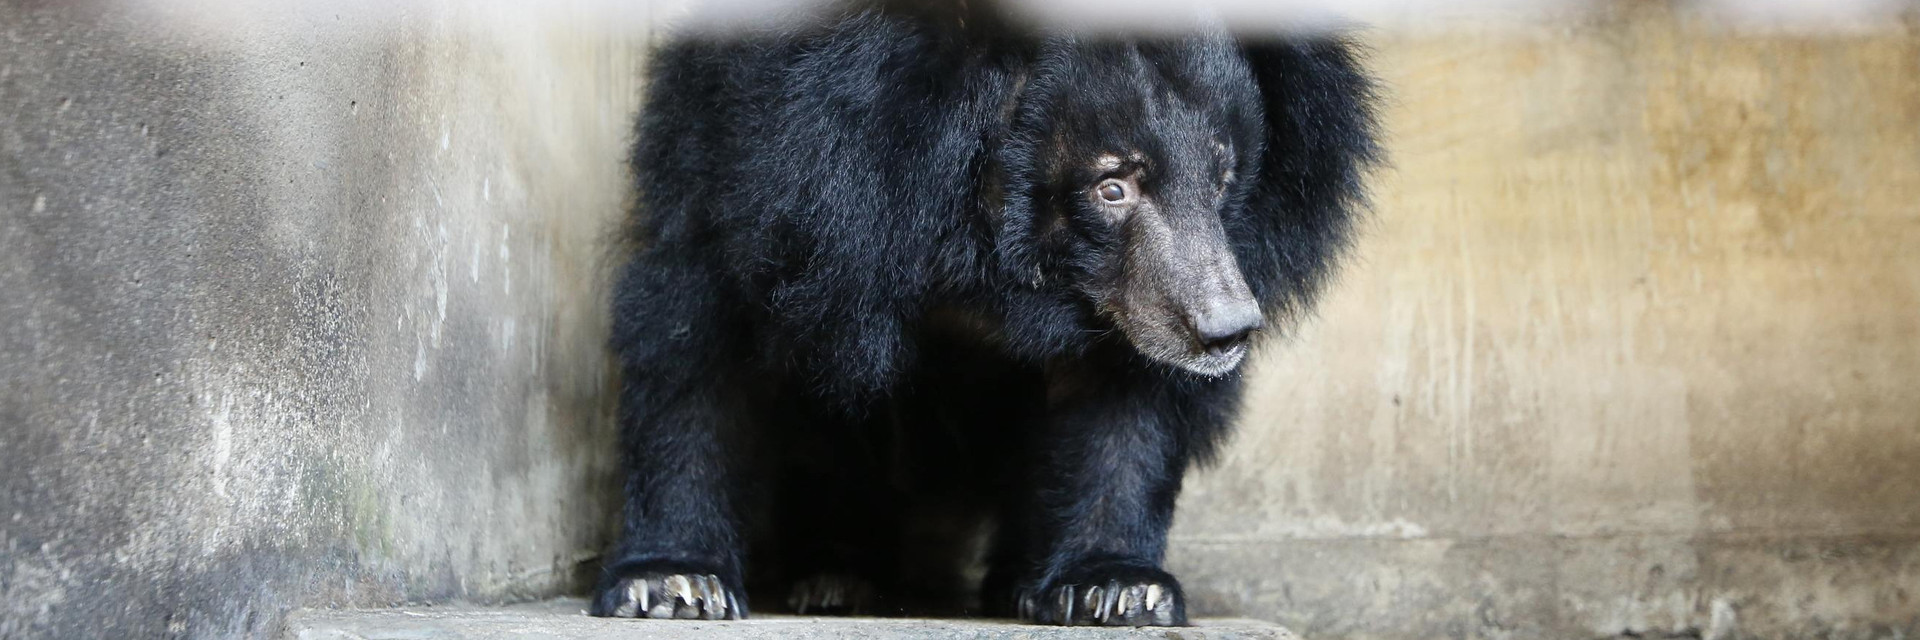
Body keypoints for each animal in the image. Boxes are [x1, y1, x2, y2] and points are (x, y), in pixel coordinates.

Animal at [591, 0, 1378, 627]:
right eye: (1112, 185)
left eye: (1222, 176)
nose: (1224, 332)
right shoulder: (756, 168)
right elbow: (699, 339)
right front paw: (671, 583)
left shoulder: (1122, 298)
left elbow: (1121, 393)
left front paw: (1120, 588)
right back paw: (838, 575)